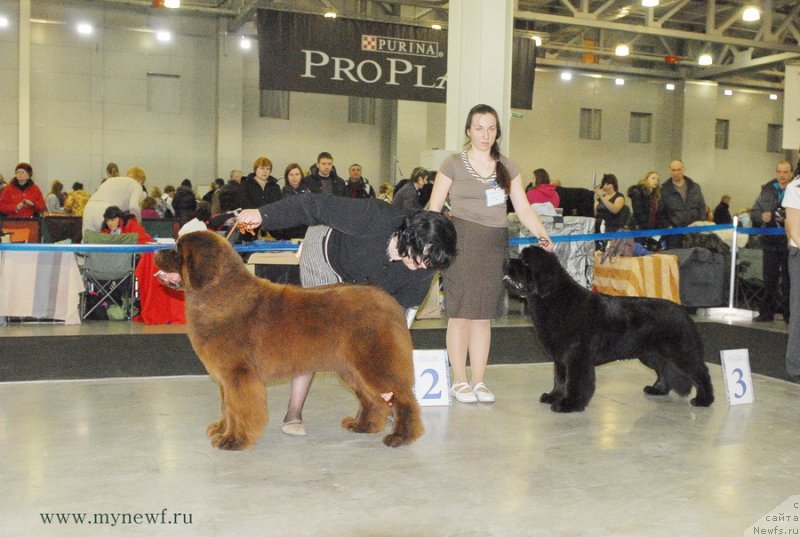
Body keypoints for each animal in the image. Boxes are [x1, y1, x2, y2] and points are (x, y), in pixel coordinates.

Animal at [152, 230, 422, 448]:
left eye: (176, 250)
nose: (155, 251)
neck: (217, 293)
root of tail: (386, 299)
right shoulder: (224, 379)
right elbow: (226, 407)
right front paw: (220, 430)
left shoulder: (237, 375)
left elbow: (238, 409)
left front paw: (233, 440)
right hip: (351, 368)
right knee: (373, 399)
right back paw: (363, 426)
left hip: (374, 363)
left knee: (404, 398)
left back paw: (401, 437)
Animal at [504, 245, 716, 412]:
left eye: (525, 261)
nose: (506, 260)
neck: (553, 298)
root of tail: (683, 312)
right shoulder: (561, 357)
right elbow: (560, 379)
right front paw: (553, 396)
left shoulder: (577, 355)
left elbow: (575, 381)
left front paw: (570, 404)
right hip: (651, 354)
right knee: (664, 370)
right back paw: (657, 389)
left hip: (680, 353)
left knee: (701, 372)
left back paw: (704, 400)